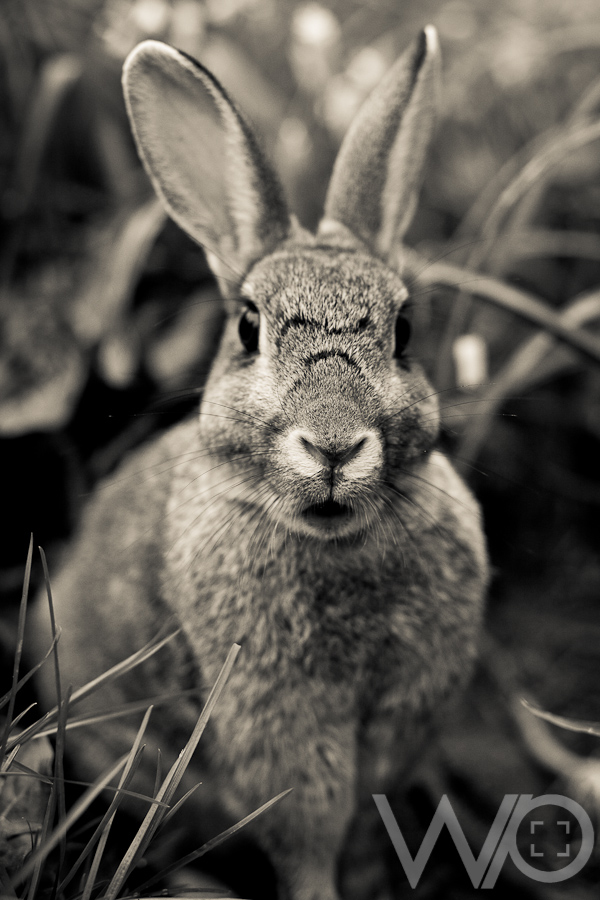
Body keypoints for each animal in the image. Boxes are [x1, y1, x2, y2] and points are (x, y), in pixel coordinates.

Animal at [31, 25, 489, 900]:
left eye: (406, 330)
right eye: (248, 329)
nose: (334, 443)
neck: (334, 540)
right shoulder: (275, 726)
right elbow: (303, 836)